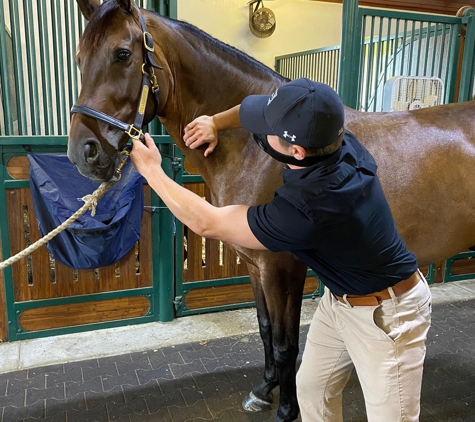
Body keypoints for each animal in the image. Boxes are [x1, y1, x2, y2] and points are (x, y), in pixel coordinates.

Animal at [69, 1, 475, 420]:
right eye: (79, 58)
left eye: (123, 54)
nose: (83, 152)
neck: (254, 151)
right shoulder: (254, 264)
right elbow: (265, 329)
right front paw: (264, 390)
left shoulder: (282, 268)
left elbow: (285, 343)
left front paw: (287, 409)